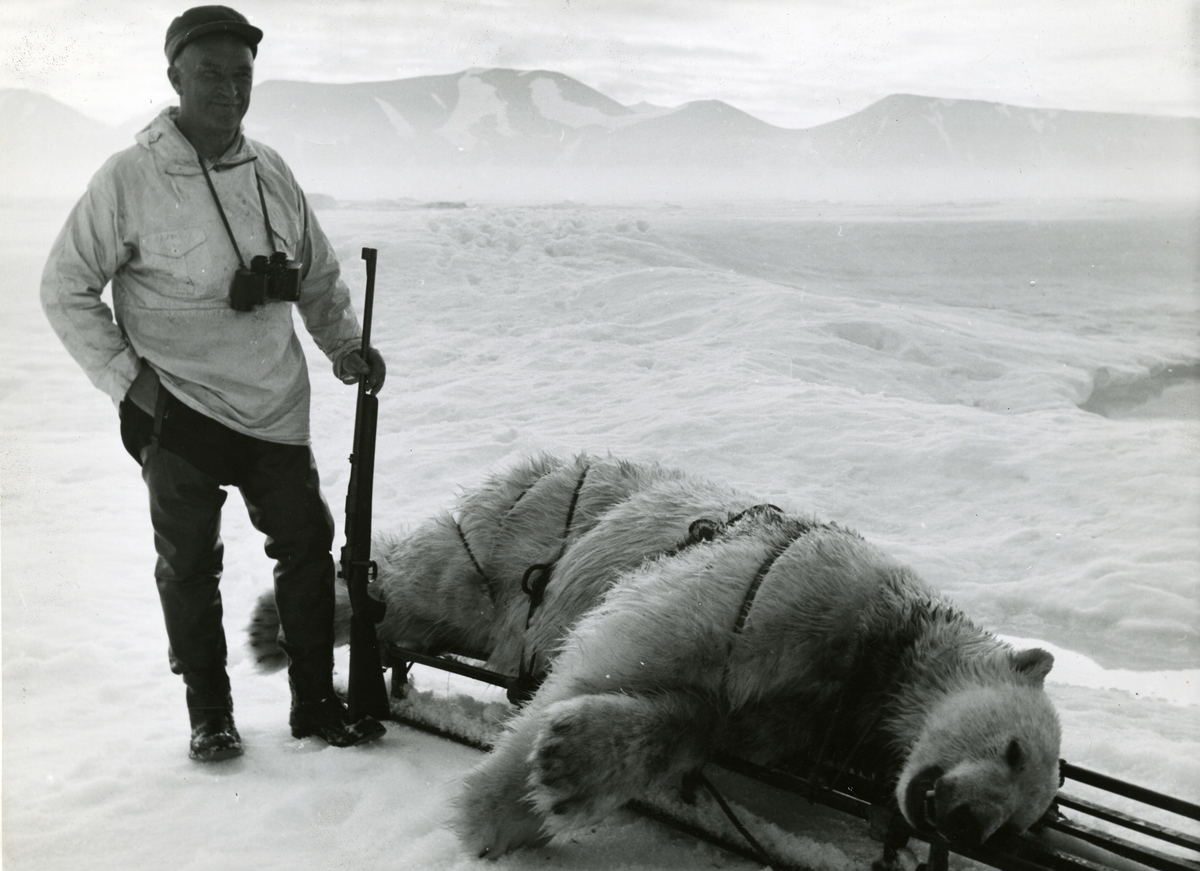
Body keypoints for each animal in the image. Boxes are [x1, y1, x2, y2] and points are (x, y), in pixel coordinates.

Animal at [243, 458, 1060, 859]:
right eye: (1016, 750)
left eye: (1018, 826)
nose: (966, 823)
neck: (879, 646)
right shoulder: (792, 590)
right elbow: (629, 647)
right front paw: (495, 811)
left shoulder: (797, 717)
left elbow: (699, 720)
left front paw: (568, 769)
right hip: (529, 526)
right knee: (427, 578)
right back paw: (280, 624)